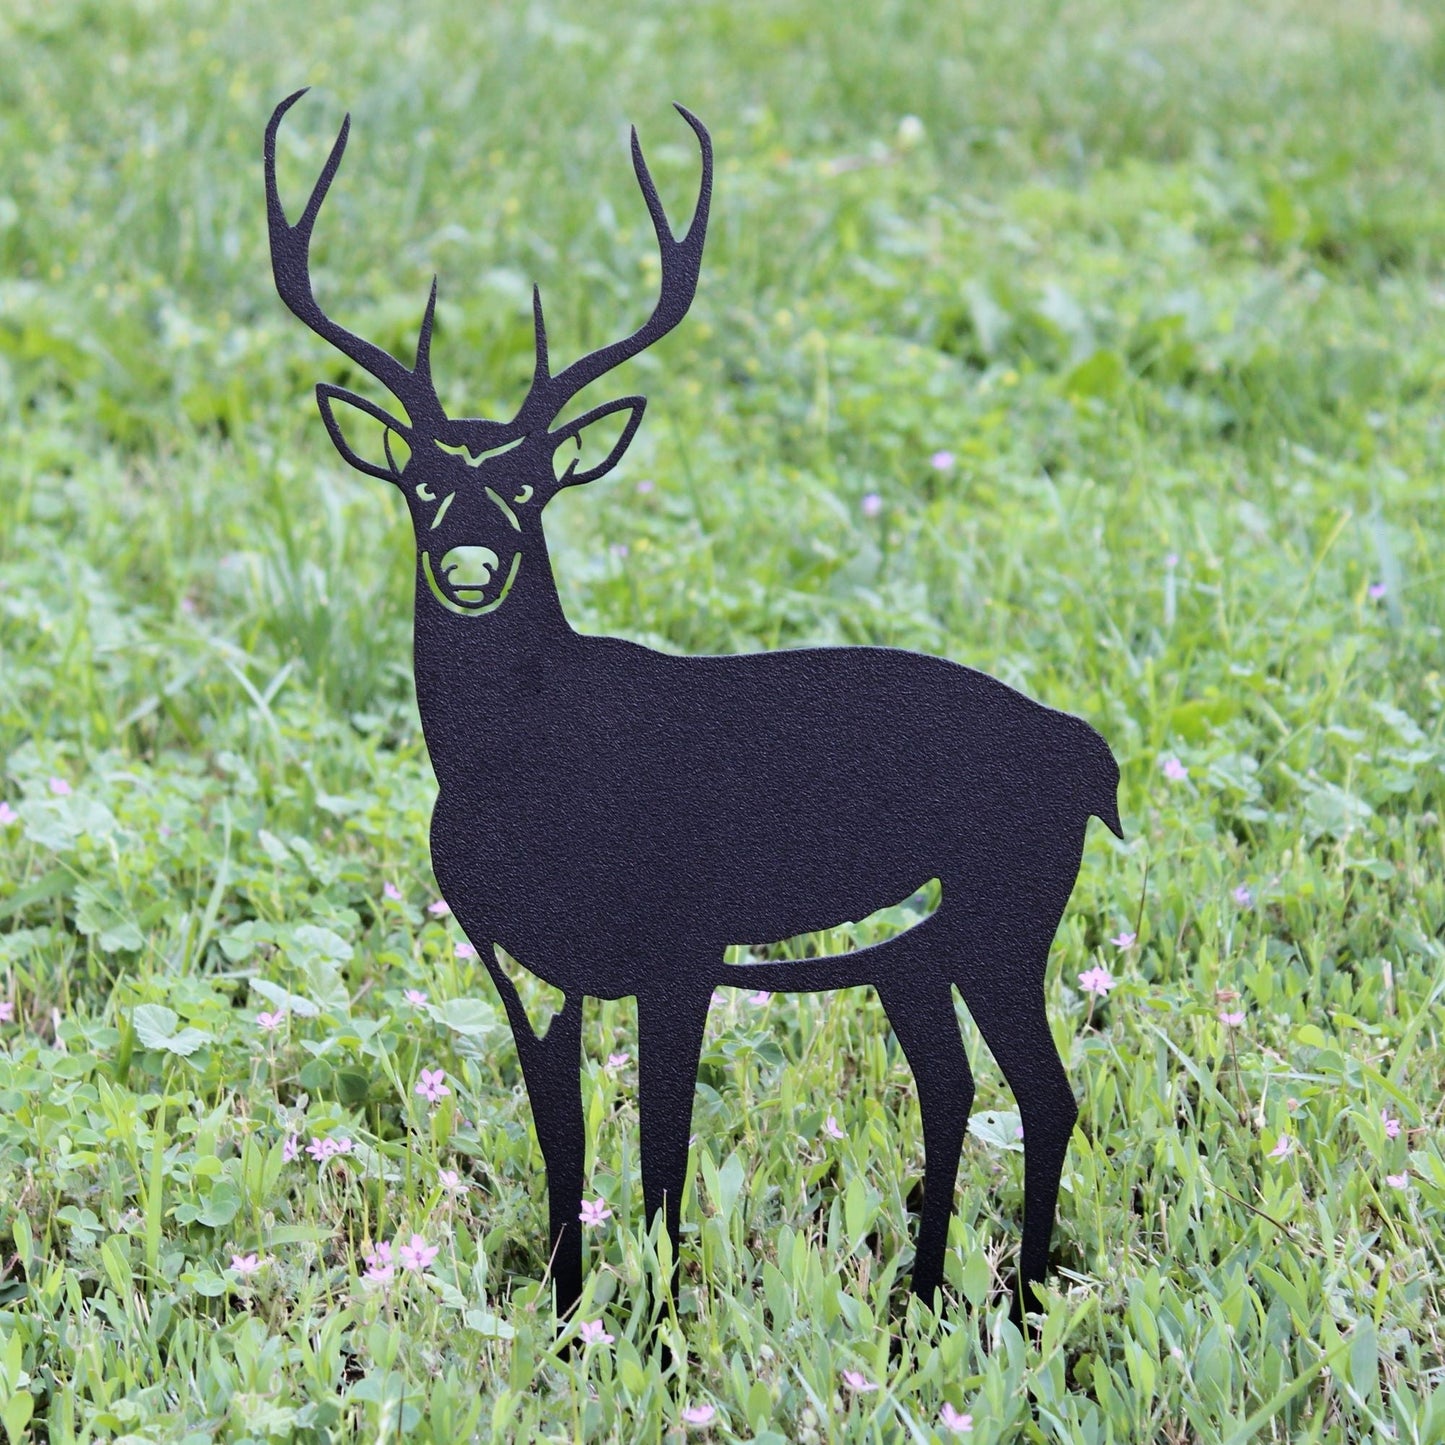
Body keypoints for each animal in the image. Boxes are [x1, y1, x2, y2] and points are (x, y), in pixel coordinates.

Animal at [265, 89, 1122, 1327]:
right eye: (421, 482)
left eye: (528, 485)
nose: (471, 565)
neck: (526, 771)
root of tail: (1084, 749)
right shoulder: (527, 967)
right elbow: (563, 1145)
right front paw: (567, 1318)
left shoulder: (678, 946)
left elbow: (660, 1155)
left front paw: (661, 1325)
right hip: (918, 951)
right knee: (954, 1086)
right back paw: (923, 1299)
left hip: (1006, 910)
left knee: (1044, 1092)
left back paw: (1021, 1303)